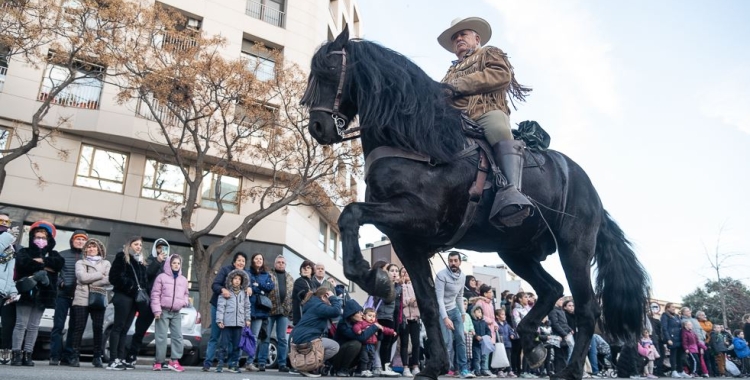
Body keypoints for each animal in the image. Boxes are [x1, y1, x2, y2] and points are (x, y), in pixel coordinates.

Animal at [302, 27, 648, 380]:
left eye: (329, 71)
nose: (318, 127)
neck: (416, 141)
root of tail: (588, 188)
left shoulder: (420, 216)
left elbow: (350, 213)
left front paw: (371, 276)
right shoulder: (406, 241)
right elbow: (428, 304)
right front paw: (434, 364)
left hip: (574, 247)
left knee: (586, 306)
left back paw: (570, 369)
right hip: (516, 250)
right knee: (551, 289)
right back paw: (533, 344)